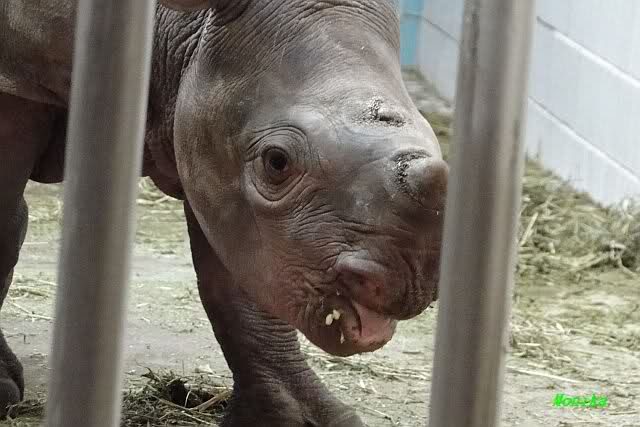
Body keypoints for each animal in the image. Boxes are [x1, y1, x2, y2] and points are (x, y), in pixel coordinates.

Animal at [0, 0, 448, 425]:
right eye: (277, 162)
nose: (410, 284)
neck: (179, 31)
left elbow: (239, 280)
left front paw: (298, 418)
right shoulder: (17, 78)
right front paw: (2, 391)